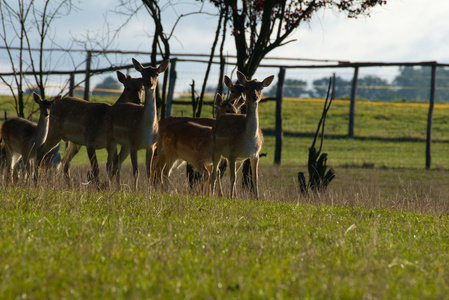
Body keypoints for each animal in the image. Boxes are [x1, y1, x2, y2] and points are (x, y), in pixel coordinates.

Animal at [104, 58, 169, 189]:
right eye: (143, 73)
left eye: (157, 74)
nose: (149, 83)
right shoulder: (134, 144)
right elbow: (136, 171)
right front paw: (135, 190)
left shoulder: (151, 146)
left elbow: (149, 172)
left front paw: (149, 192)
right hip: (111, 139)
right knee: (109, 164)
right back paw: (109, 187)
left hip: (125, 145)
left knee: (116, 162)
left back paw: (117, 188)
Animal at [209, 70, 272, 199]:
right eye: (247, 87)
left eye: (261, 87)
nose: (254, 96)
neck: (248, 138)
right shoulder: (232, 153)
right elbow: (232, 177)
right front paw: (230, 197)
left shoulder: (255, 154)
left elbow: (255, 178)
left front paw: (257, 198)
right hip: (215, 150)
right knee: (215, 172)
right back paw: (211, 195)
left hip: (239, 160)